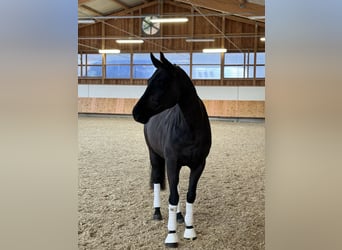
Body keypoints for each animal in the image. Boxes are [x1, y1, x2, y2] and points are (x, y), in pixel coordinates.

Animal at [133, 51, 211, 247]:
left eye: (161, 82)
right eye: (148, 80)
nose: (136, 112)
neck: (190, 127)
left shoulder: (198, 165)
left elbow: (189, 194)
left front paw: (189, 230)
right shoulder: (171, 162)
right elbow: (173, 197)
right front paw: (171, 235)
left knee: (175, 187)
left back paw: (179, 216)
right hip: (155, 157)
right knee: (157, 180)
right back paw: (157, 212)